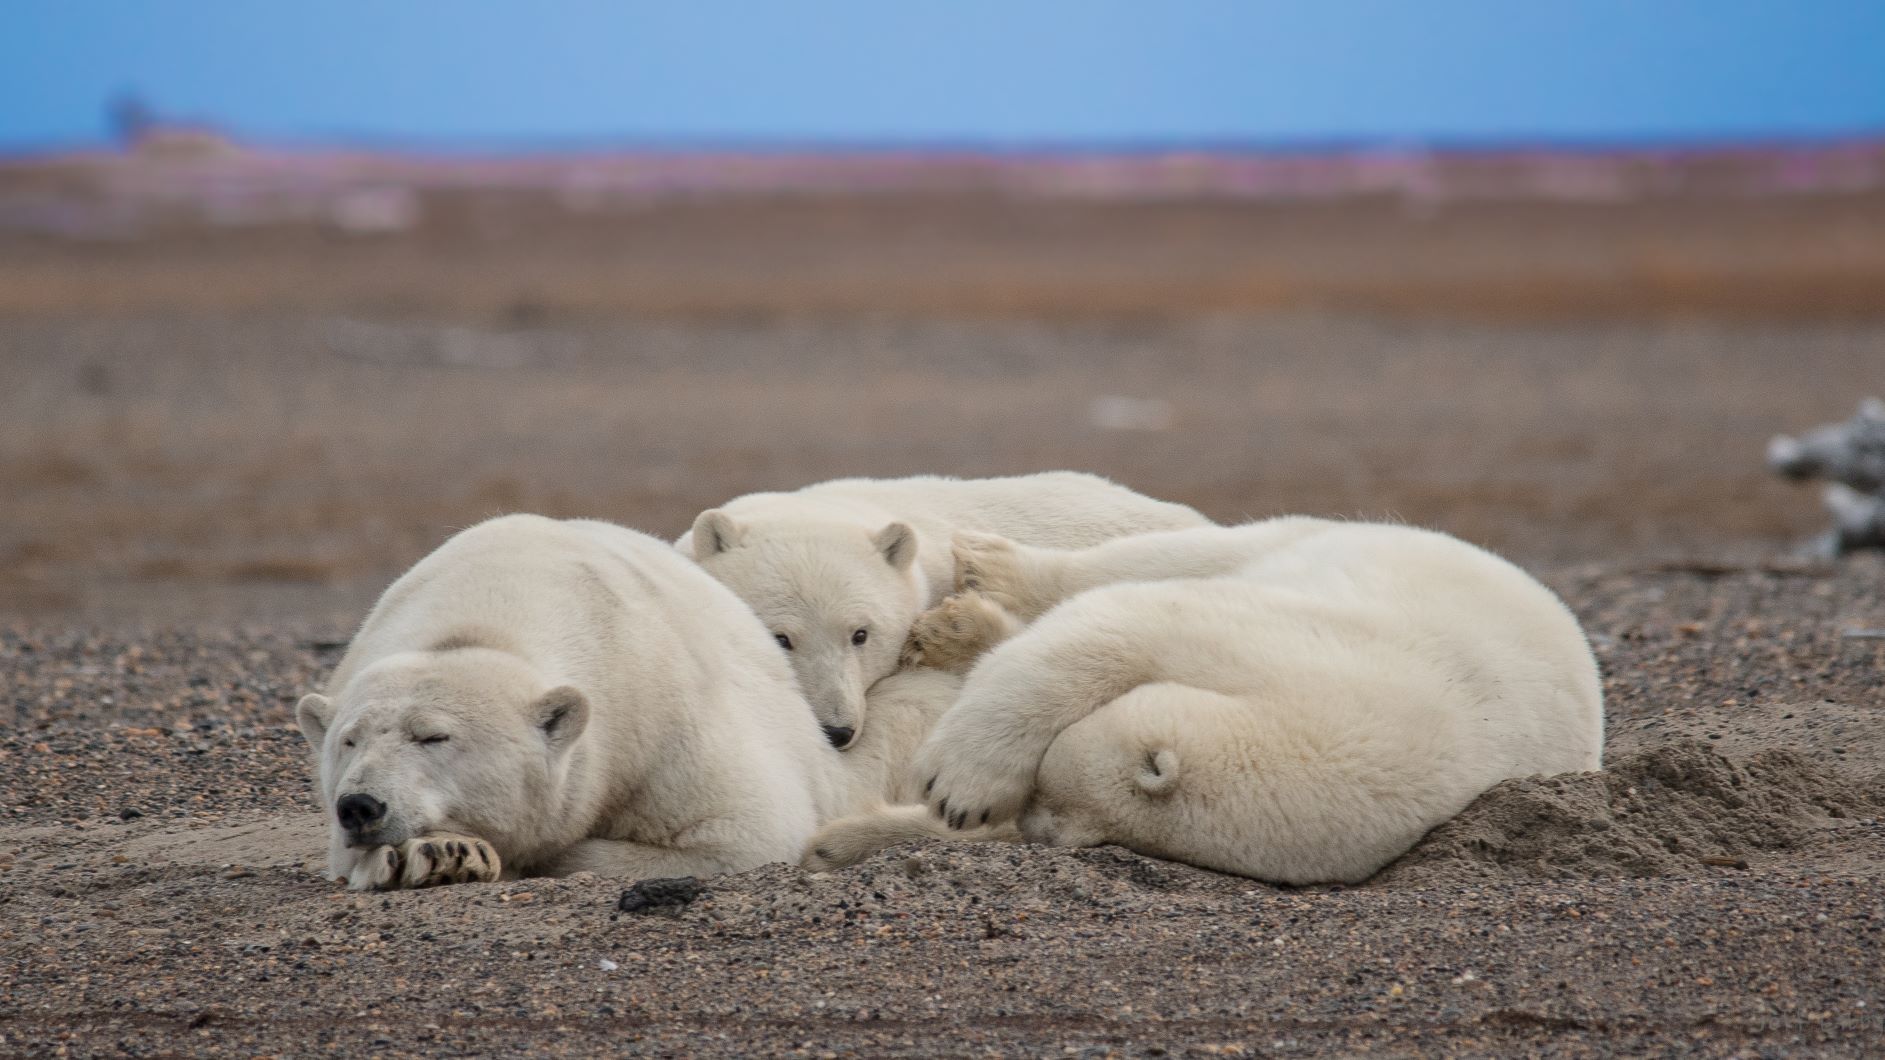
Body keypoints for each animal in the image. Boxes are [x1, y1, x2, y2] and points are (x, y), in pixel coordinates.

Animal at [295, 513, 947, 890]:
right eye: (347, 741)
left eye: (434, 735)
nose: (360, 806)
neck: (484, 619)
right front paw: (437, 856)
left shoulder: (658, 713)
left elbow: (747, 832)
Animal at [807, 517, 1604, 885]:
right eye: (1045, 790)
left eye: (1059, 820)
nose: (1030, 827)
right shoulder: (1303, 641)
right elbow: (1134, 619)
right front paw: (960, 784)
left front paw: (846, 839)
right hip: (1326, 540)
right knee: (1168, 558)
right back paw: (986, 578)